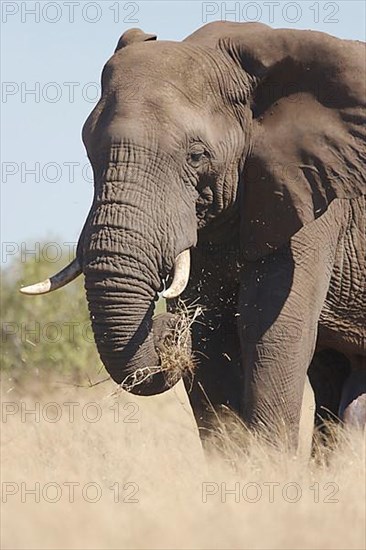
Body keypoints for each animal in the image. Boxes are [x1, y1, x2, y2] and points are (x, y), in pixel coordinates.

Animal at [22, 23, 366, 450]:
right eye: (89, 150)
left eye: (196, 156)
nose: (165, 327)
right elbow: (208, 337)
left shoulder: (312, 192)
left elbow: (273, 328)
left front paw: (268, 464)